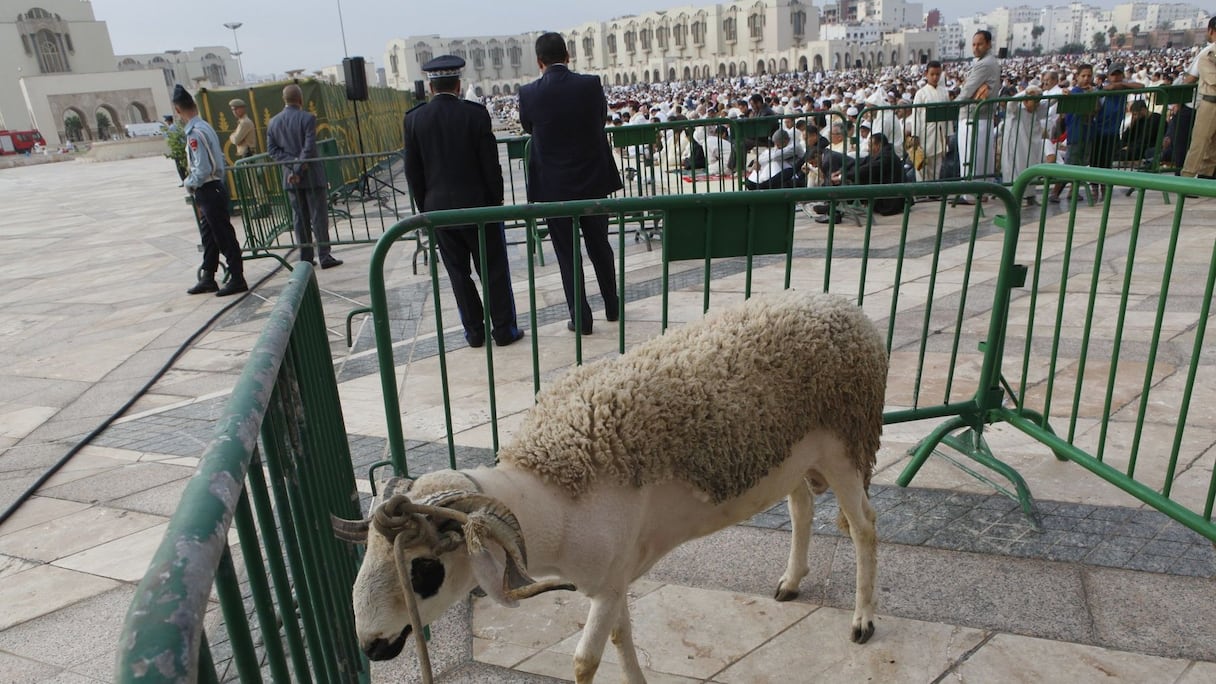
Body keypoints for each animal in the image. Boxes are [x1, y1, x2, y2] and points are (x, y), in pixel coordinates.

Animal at [333, 288, 885, 681]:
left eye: (424, 569)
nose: (371, 647)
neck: (549, 496)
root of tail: (845, 308)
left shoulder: (607, 581)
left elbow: (584, 662)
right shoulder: (614, 579)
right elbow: (623, 640)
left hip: (845, 447)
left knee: (865, 526)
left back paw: (862, 621)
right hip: (795, 459)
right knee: (801, 507)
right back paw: (791, 581)